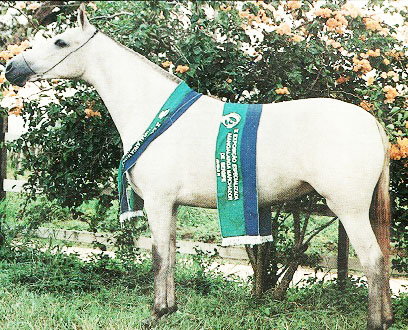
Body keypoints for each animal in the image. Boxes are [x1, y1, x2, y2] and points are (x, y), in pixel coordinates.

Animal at [3, 6, 392, 328]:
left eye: (59, 41)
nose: (12, 68)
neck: (158, 114)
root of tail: (371, 122)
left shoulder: (157, 203)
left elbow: (158, 256)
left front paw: (156, 314)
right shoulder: (171, 206)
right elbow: (172, 254)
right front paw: (169, 309)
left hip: (349, 209)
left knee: (372, 260)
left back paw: (376, 323)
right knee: (384, 259)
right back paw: (386, 317)